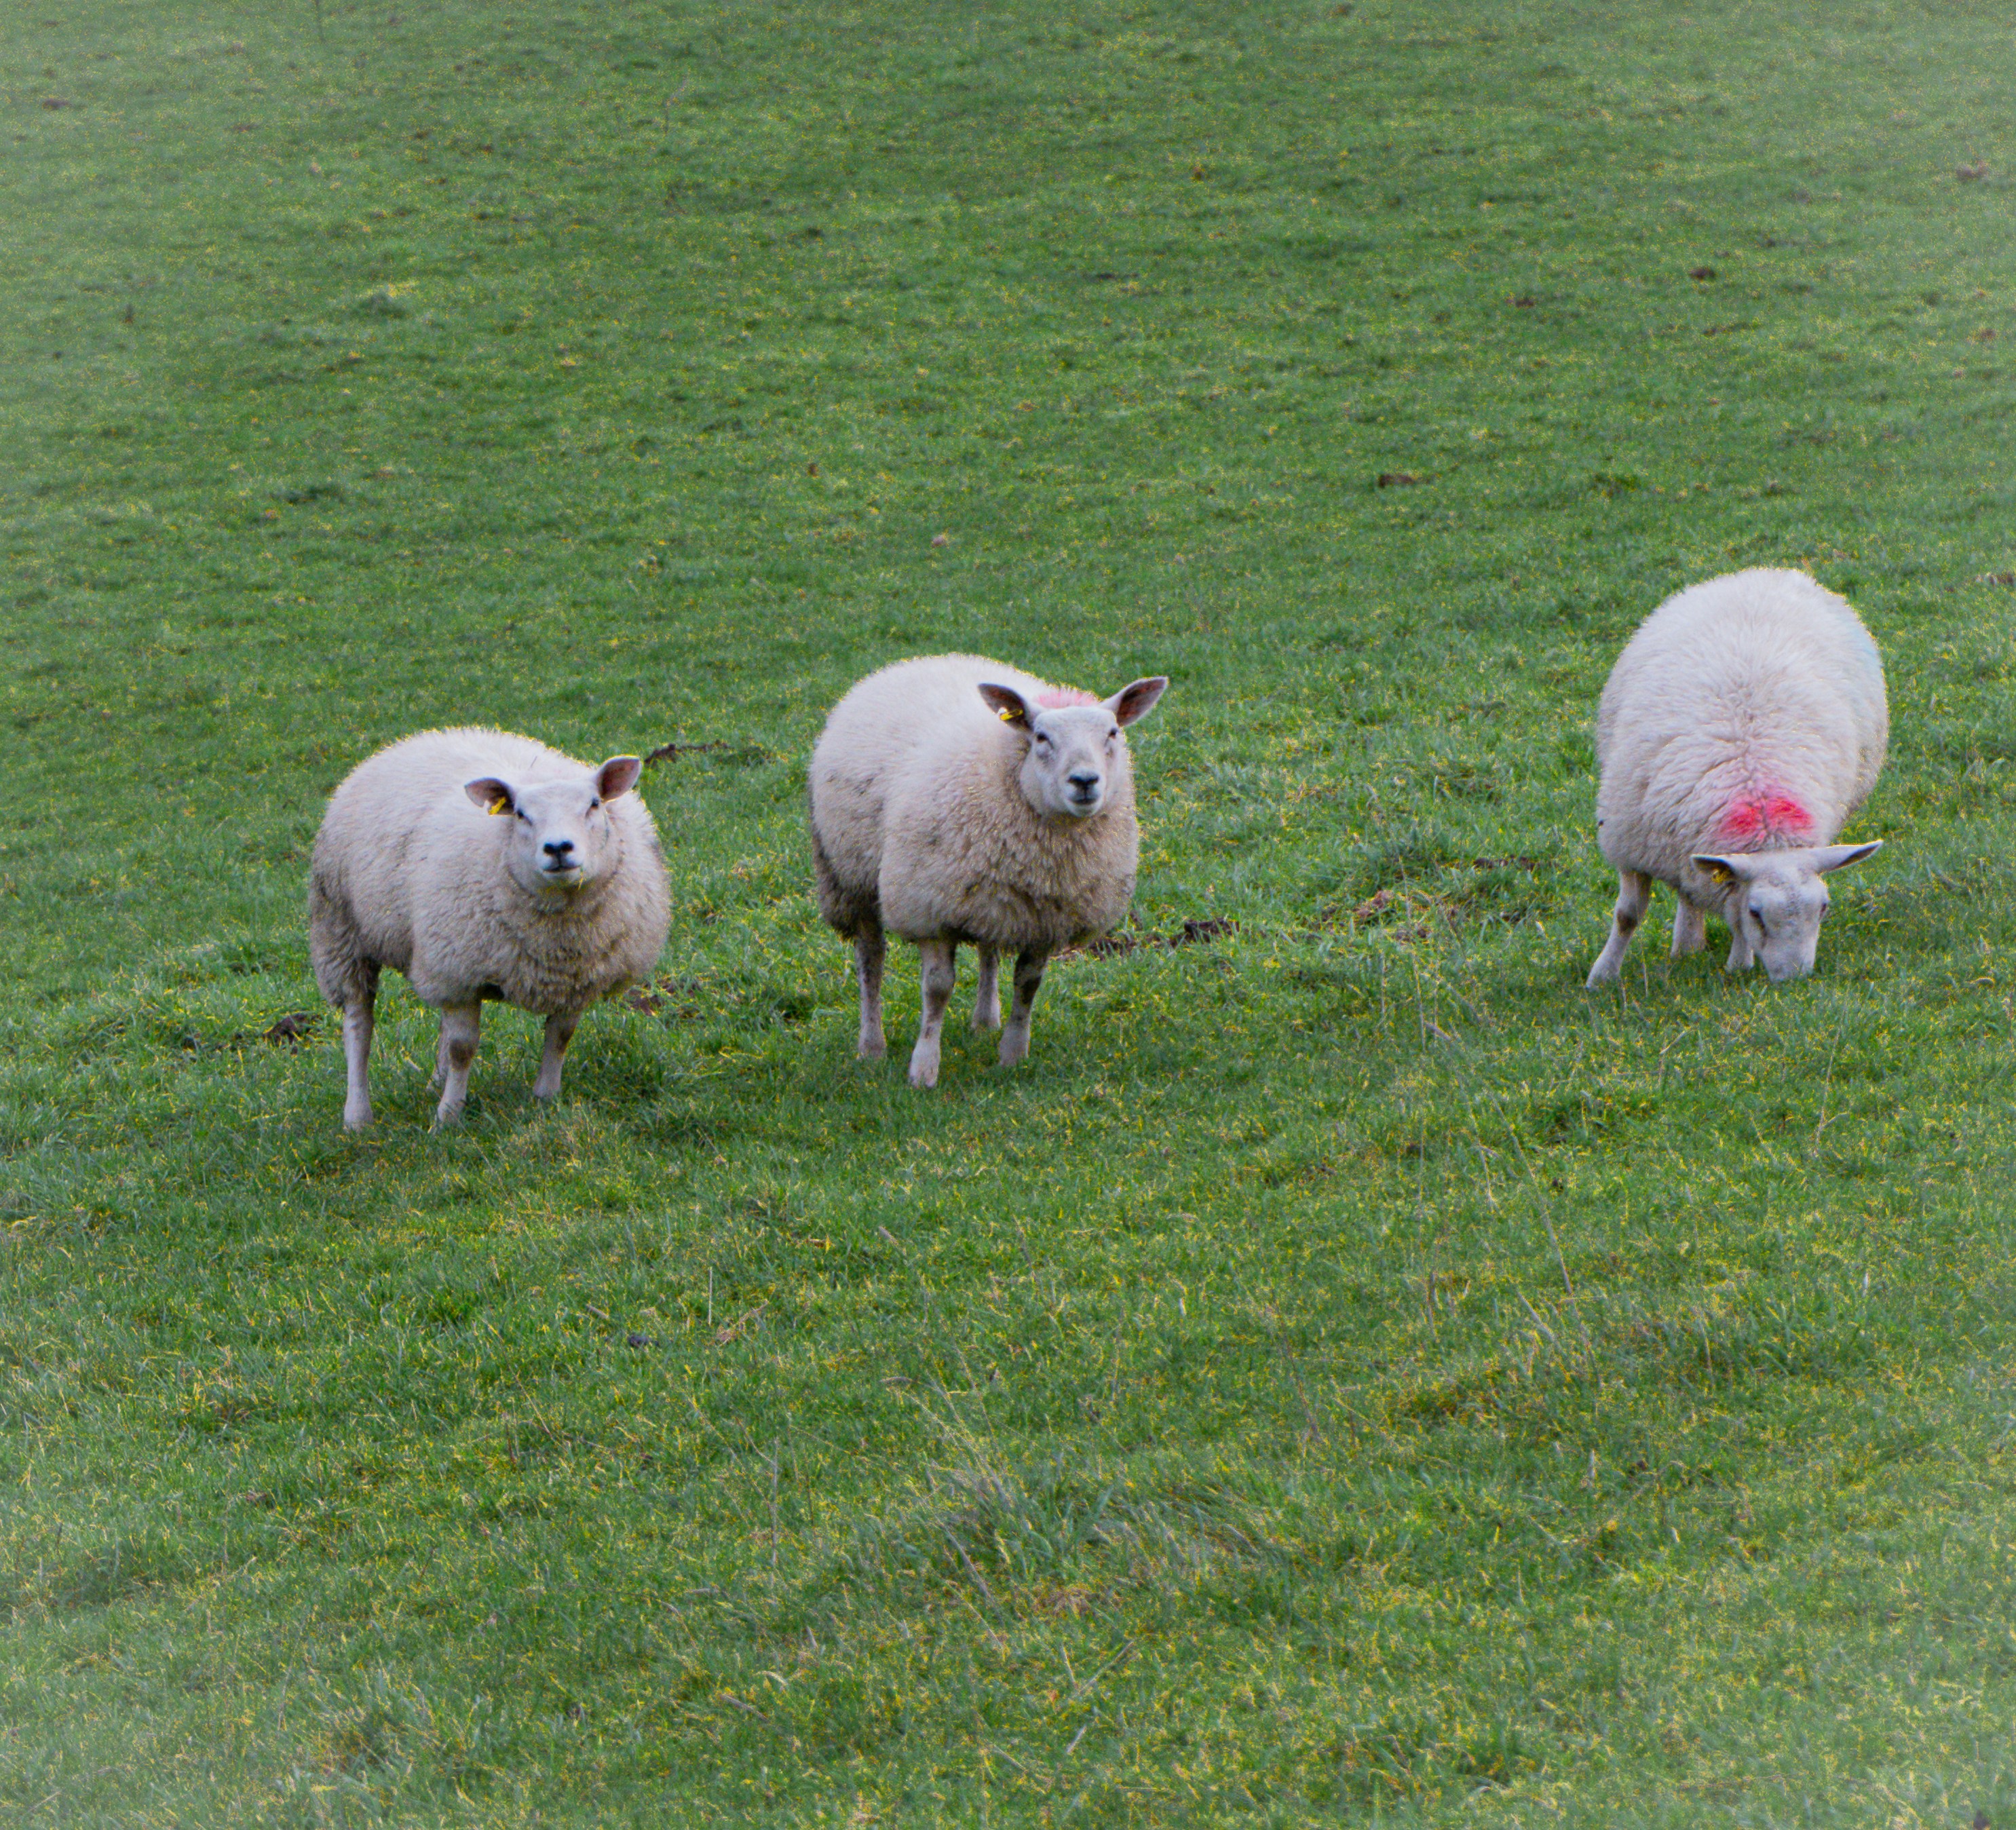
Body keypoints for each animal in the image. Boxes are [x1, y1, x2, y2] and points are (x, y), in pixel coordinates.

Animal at [309, 727, 671, 1129]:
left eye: (594, 804)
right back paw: (358, 1115)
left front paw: (546, 1097)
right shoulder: (460, 973)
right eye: (521, 814)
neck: (558, 931)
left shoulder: (576, 976)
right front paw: (448, 1116)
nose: (558, 848)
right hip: (342, 931)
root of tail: (417, 739)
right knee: (359, 1024)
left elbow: (560, 1037)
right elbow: (462, 1049)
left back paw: (435, 1083)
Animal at [808, 655, 1169, 1088]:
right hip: (850, 877)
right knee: (871, 961)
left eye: (1112, 732)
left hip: (993, 897)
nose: (1085, 781)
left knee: (988, 948)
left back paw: (985, 1021)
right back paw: (871, 1045)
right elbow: (937, 990)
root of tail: (921, 661)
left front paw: (1013, 1054)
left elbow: (1028, 984)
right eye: (1041, 737)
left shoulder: (1044, 916)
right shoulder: (929, 909)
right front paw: (924, 1069)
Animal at [1586, 568, 1886, 986]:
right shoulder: (1630, 847)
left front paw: (1739, 963)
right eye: (1758, 912)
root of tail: (1773, 573)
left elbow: (1732, 917)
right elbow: (1628, 915)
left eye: (1824, 908)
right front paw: (1602, 976)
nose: (1795, 980)